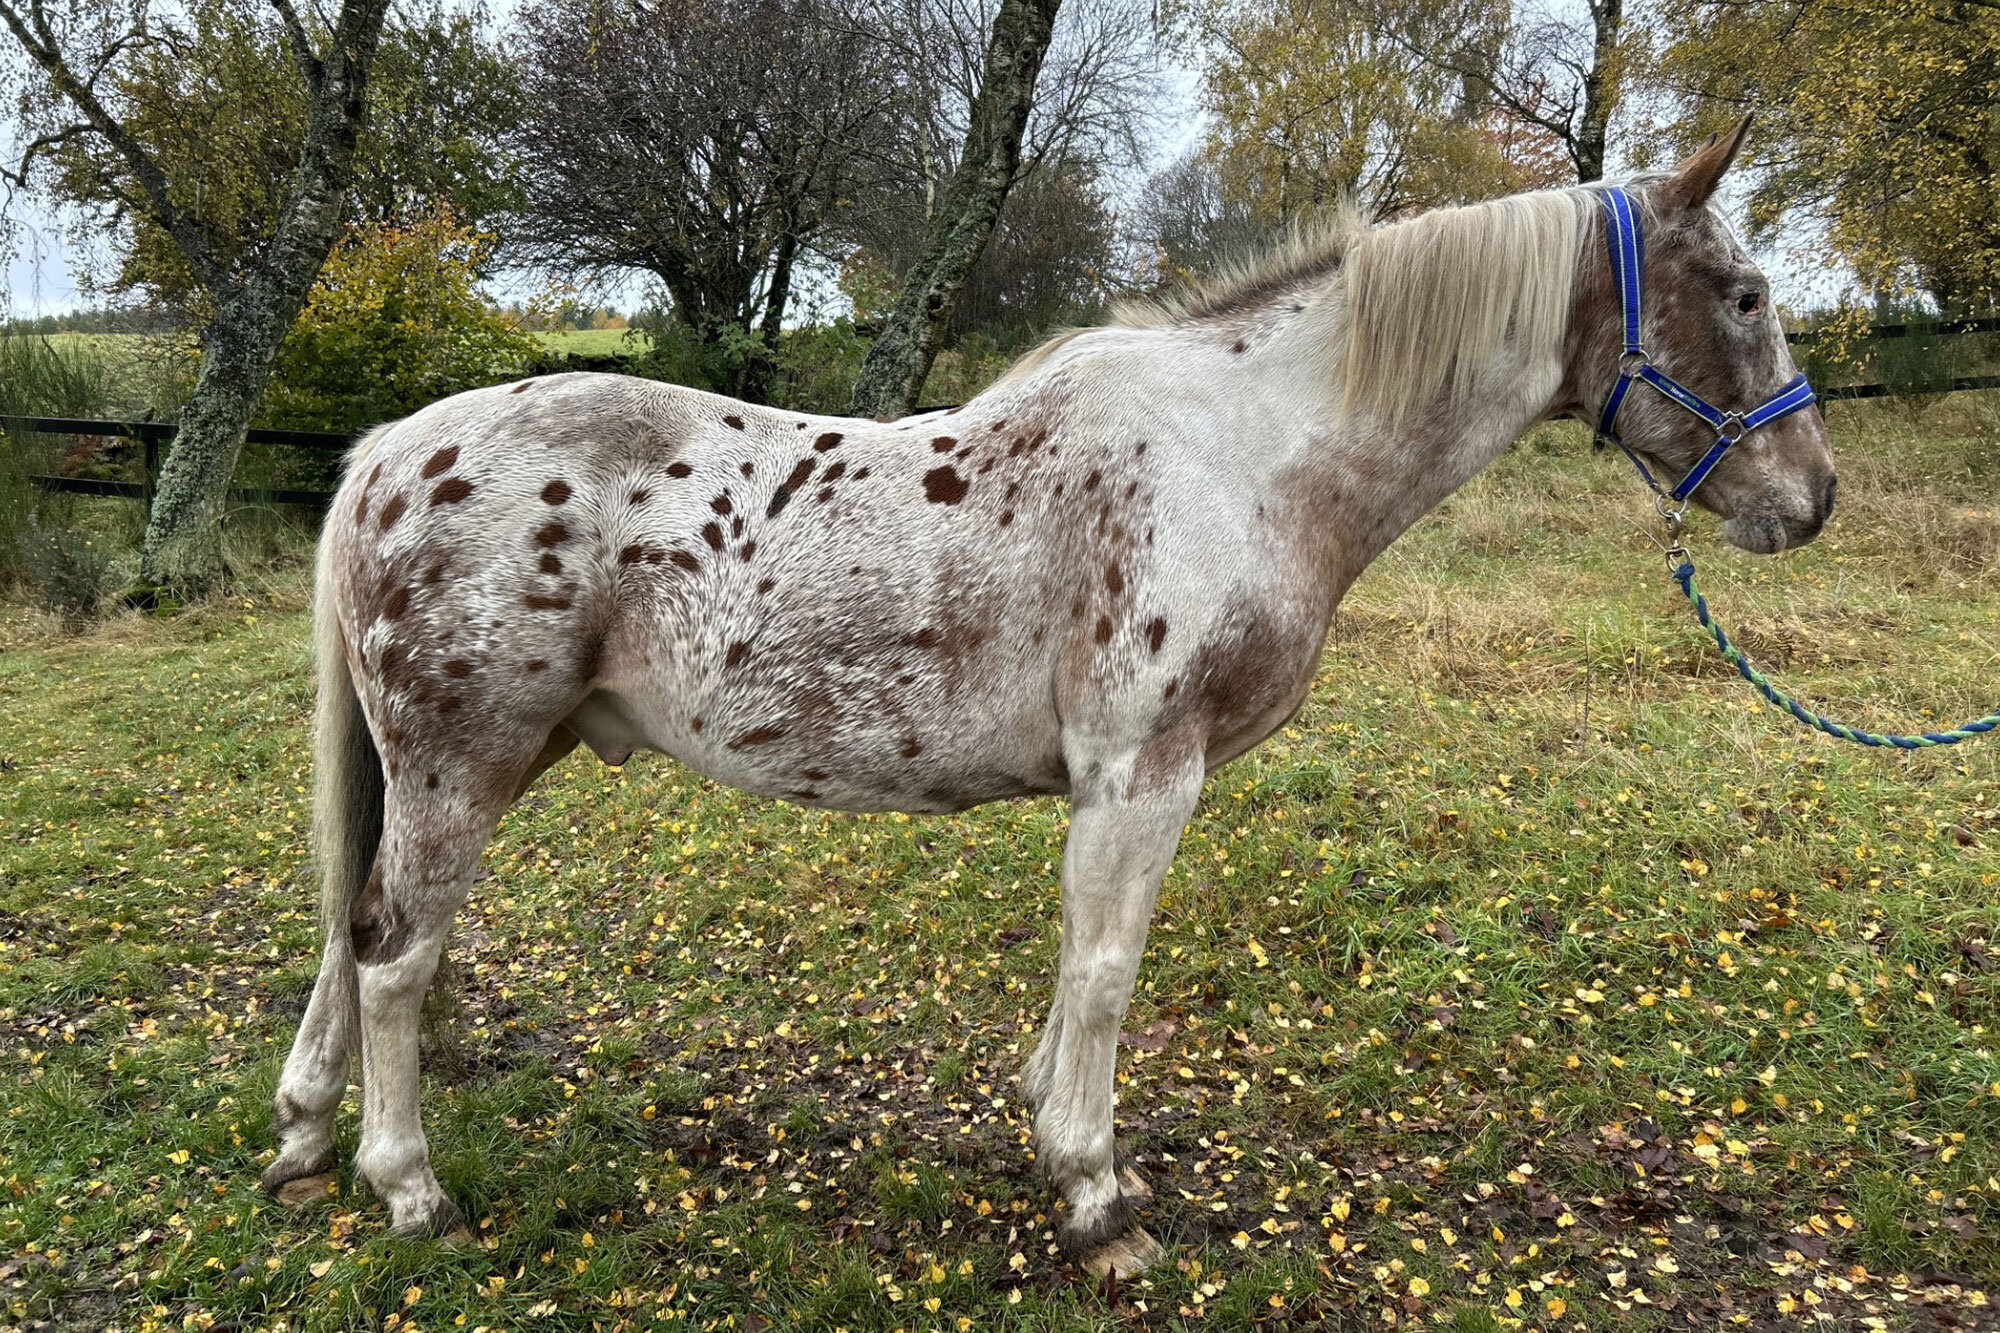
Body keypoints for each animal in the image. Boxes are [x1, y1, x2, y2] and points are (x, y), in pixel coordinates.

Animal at [262, 119, 1832, 1272]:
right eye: (1744, 296)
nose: (1807, 498)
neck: (1243, 455)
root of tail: (393, 445)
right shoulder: (1144, 772)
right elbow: (1108, 971)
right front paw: (1095, 1198)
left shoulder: (1114, 786)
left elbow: (1080, 966)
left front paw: (1043, 1119)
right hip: (464, 763)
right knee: (396, 953)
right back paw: (409, 1188)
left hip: (473, 762)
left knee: (352, 928)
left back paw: (305, 1136)